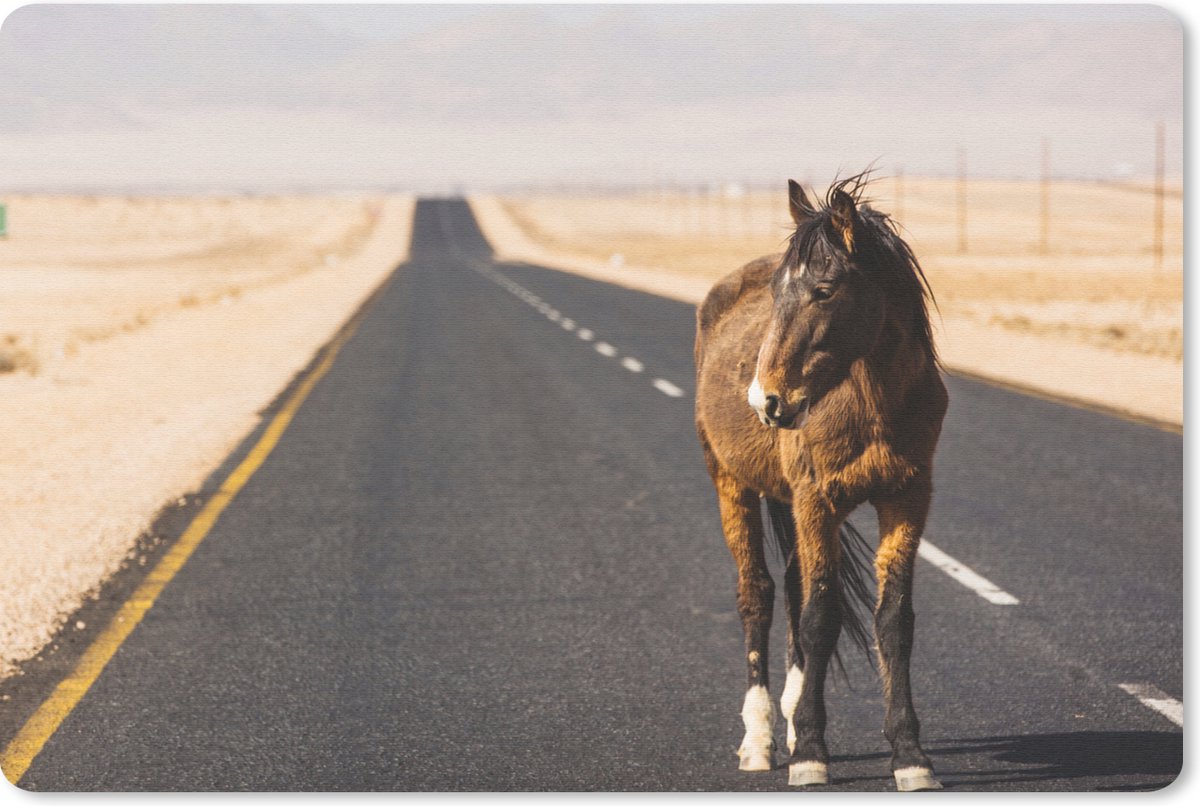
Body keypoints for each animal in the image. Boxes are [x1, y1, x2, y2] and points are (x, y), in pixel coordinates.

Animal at [693, 174, 947, 791]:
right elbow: (821, 616)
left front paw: (910, 755)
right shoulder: (817, 500)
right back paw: (760, 739)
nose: (765, 400)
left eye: (825, 290)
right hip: (730, 484)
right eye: (777, 293)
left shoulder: (908, 497)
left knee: (790, 587)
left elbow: (892, 620)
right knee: (758, 595)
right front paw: (811, 751)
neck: (873, 401)